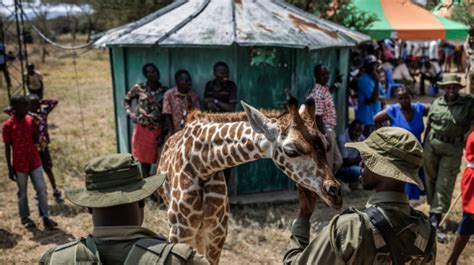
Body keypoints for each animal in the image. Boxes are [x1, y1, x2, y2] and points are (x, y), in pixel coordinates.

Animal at [157, 97, 342, 264]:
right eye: (291, 151)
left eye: (325, 143)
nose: (335, 194)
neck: (204, 165)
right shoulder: (180, 234)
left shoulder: (217, 235)